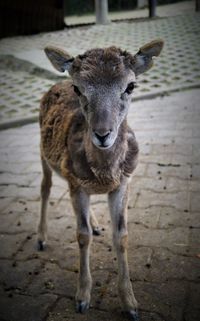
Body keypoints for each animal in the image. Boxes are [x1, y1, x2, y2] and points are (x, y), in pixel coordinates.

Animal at [37, 38, 164, 318]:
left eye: (130, 85)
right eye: (78, 88)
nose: (103, 134)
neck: (104, 173)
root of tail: (55, 84)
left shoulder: (122, 183)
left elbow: (122, 235)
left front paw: (131, 304)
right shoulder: (77, 184)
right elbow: (81, 236)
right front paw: (82, 298)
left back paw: (96, 224)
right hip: (42, 153)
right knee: (46, 187)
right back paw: (41, 238)